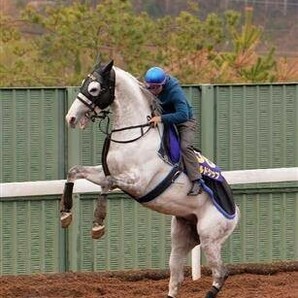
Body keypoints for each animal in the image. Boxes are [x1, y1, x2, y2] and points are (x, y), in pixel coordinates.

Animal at [60, 60, 240, 298]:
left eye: (94, 88)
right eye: (83, 83)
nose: (70, 118)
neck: (136, 133)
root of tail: (235, 211)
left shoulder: (139, 183)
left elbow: (108, 185)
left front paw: (98, 224)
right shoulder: (106, 172)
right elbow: (74, 171)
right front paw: (65, 213)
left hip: (210, 236)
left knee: (221, 273)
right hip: (182, 235)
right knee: (176, 276)